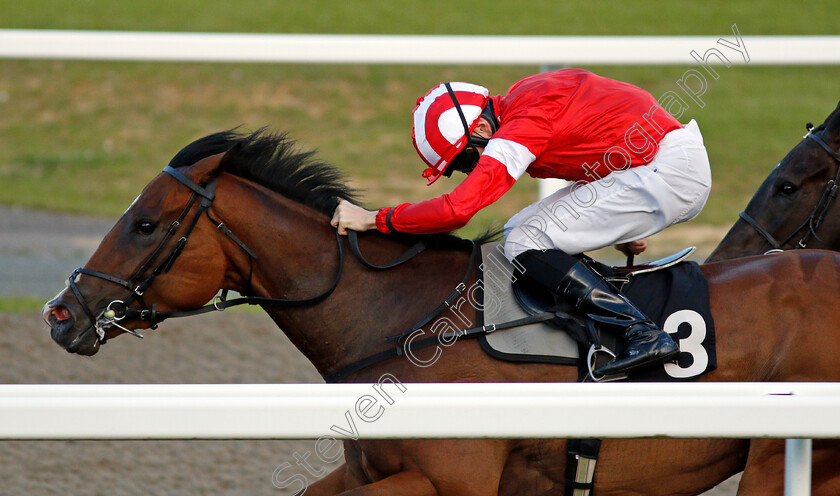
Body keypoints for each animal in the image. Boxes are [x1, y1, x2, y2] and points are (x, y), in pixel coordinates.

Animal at [44, 130, 840, 494]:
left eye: (145, 224)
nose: (61, 312)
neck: (403, 321)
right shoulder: (372, 472)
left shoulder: (450, 479)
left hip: (780, 461)